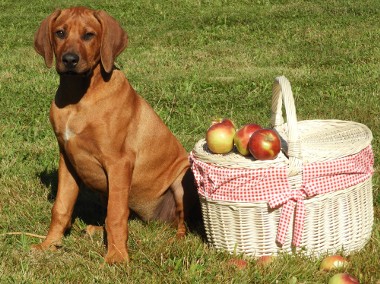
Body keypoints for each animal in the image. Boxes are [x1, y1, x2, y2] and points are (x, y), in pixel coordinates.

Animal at [33, 6, 199, 264]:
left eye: (89, 35)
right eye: (60, 33)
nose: (69, 60)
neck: (79, 95)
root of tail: (155, 221)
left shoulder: (119, 162)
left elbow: (116, 215)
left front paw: (117, 257)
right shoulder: (67, 159)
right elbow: (61, 207)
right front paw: (49, 245)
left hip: (182, 179)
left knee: (182, 226)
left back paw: (173, 242)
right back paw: (94, 229)